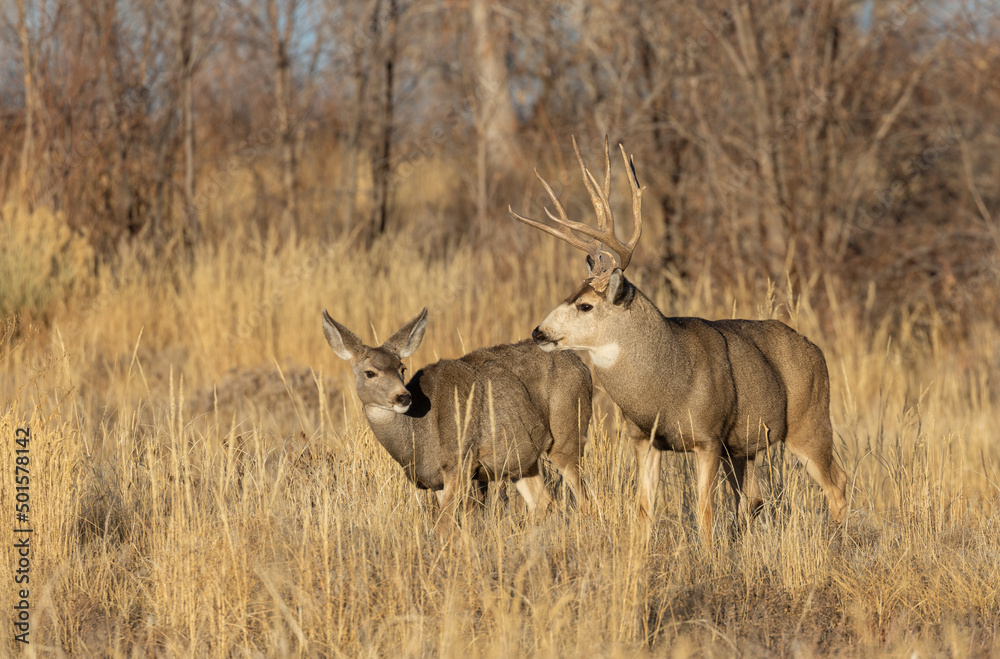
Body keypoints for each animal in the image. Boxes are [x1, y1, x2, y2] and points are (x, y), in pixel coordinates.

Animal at [321, 308, 593, 527]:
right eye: (369, 373)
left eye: (402, 368)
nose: (403, 397)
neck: (419, 436)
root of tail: (584, 366)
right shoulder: (436, 481)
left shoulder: (460, 462)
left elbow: (444, 526)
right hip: (522, 461)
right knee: (545, 504)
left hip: (568, 435)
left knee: (582, 498)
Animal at [509, 137, 849, 543]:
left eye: (586, 305)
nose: (538, 332)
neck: (665, 387)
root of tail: (816, 350)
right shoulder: (644, 438)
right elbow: (643, 510)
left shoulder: (708, 436)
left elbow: (704, 513)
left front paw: (708, 554)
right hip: (743, 448)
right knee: (754, 499)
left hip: (808, 421)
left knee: (837, 483)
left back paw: (839, 540)